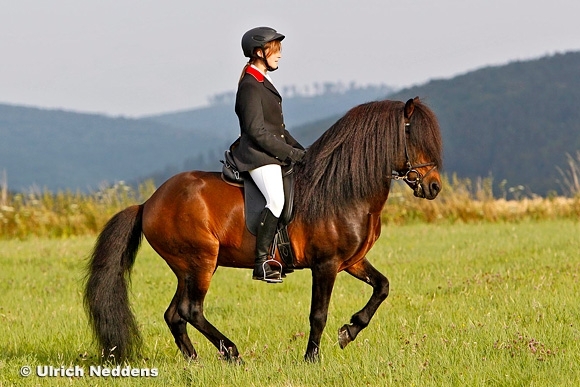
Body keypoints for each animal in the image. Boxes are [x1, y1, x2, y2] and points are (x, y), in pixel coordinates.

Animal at [84, 97, 442, 364]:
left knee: (175, 314)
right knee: (190, 310)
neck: (342, 189)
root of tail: (149, 202)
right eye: (414, 138)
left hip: (188, 267)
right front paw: (312, 359)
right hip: (200, 262)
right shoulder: (325, 265)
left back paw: (195, 360)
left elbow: (382, 287)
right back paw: (232, 353)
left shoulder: (351, 260)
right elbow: (318, 314)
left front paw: (349, 331)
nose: (434, 187)